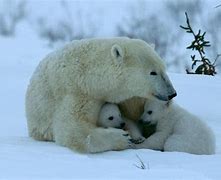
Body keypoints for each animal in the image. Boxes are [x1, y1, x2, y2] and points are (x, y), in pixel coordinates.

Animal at [25, 37, 177, 153]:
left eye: (164, 68)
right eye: (153, 72)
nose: (172, 93)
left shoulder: (127, 97)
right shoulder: (77, 92)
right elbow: (72, 129)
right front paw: (122, 138)